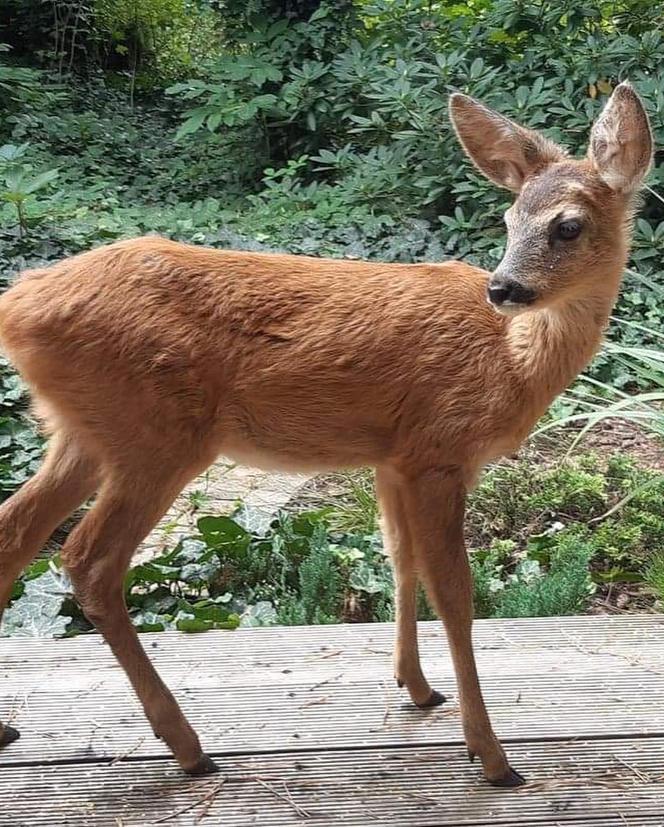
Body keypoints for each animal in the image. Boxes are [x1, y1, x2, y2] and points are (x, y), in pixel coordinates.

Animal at [0, 84, 652, 788]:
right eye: (507, 221)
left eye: (566, 226)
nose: (502, 287)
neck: (511, 361)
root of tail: (16, 306)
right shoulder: (439, 451)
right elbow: (455, 594)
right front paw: (490, 755)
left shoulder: (394, 457)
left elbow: (400, 561)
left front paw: (418, 688)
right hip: (157, 435)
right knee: (88, 561)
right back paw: (188, 746)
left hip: (83, 433)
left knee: (16, 532)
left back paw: (13, 727)